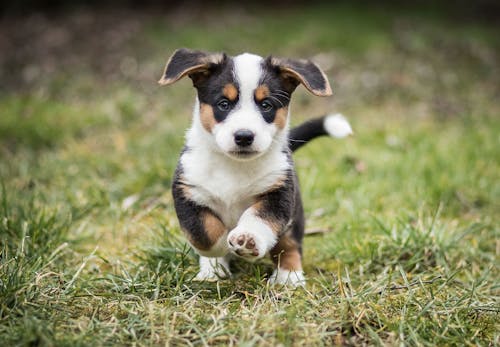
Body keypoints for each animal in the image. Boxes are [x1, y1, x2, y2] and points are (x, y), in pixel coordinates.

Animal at [159, 49, 352, 288]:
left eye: (266, 105)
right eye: (224, 104)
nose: (244, 136)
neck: (234, 166)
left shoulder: (278, 194)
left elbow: (258, 218)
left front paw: (246, 240)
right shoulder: (188, 193)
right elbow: (204, 233)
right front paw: (223, 248)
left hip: (295, 214)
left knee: (290, 244)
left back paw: (289, 276)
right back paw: (213, 271)